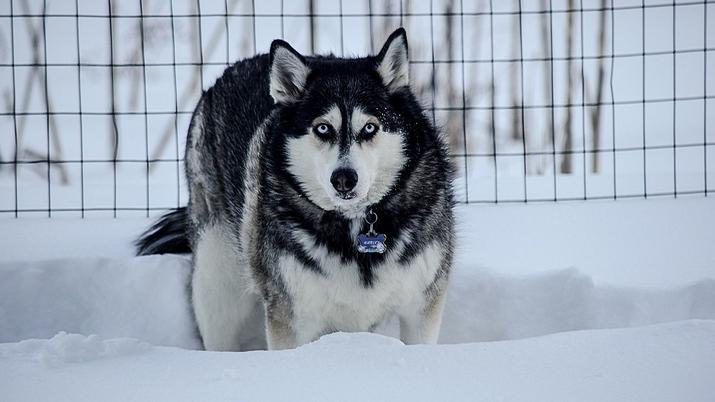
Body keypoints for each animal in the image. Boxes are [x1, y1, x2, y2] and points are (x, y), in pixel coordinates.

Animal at [137, 28, 456, 350]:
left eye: (369, 128)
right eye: (323, 128)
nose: (344, 179)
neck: (353, 225)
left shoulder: (422, 306)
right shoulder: (290, 315)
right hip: (217, 283)